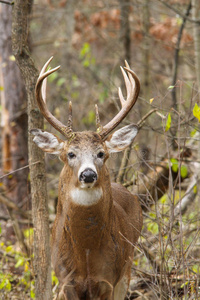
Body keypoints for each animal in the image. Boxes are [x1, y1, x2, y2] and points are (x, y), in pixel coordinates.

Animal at [31, 56, 143, 300]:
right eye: (70, 154)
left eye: (101, 153)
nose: (88, 174)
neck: (86, 255)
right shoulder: (66, 281)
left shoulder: (108, 280)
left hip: (127, 265)